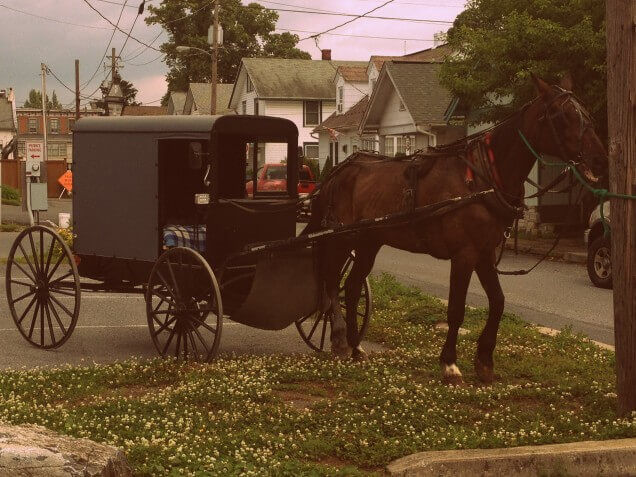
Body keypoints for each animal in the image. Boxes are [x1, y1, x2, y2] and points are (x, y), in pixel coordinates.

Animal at [306, 76, 608, 384]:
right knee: (331, 284)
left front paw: (484, 361)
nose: (600, 159)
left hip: (369, 241)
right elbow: (456, 310)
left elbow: (498, 302)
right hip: (342, 239)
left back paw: (356, 347)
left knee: (352, 287)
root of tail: (336, 173)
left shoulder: (485, 253)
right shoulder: (464, 255)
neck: (483, 178)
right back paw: (340, 340)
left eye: (586, 113)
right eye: (561, 115)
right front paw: (450, 364)